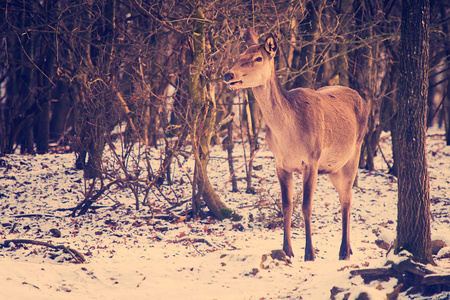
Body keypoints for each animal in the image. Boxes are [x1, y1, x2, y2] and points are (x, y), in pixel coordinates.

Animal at [224, 28, 370, 262]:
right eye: (239, 56)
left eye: (258, 58)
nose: (228, 74)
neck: (289, 136)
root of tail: (363, 99)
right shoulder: (281, 164)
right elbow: (287, 206)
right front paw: (287, 251)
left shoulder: (311, 160)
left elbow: (306, 206)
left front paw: (309, 253)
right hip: (332, 168)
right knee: (344, 197)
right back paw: (348, 248)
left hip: (354, 153)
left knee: (347, 199)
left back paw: (344, 251)